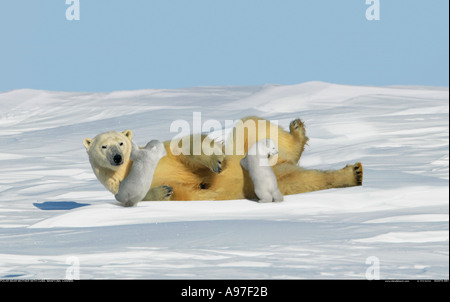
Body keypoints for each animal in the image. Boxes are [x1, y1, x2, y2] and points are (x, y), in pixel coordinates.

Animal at [83, 115, 362, 203]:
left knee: (253, 124)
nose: (117, 157)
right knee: (304, 180)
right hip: (274, 179)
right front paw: (164, 191)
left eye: (121, 142)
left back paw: (297, 132)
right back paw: (352, 174)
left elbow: (185, 147)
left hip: (246, 145)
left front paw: (215, 162)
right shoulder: (120, 188)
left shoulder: (161, 151)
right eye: (103, 146)